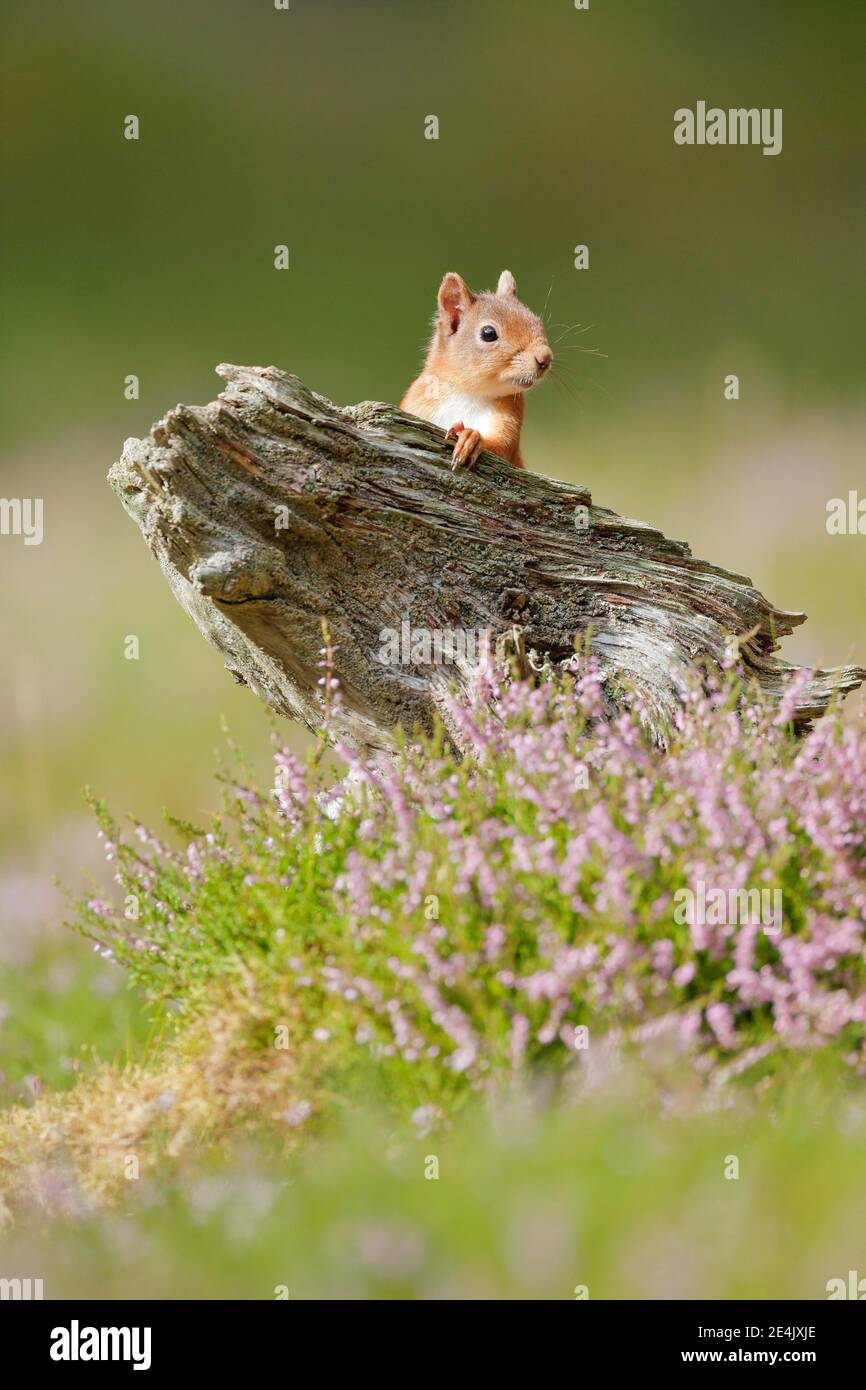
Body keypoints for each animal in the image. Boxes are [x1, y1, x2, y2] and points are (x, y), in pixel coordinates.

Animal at [400, 269, 553, 470]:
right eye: (488, 333)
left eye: (537, 322)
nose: (545, 358)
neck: (466, 393)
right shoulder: (417, 405)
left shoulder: (510, 415)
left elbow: (501, 448)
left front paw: (470, 438)